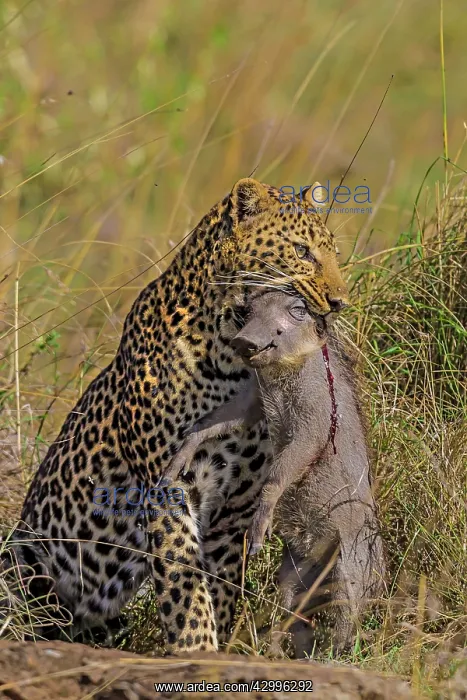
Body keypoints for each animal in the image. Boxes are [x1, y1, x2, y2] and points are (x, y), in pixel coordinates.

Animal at [9, 177, 349, 654]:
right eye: (302, 251)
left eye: (333, 251)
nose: (339, 301)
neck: (229, 353)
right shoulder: (168, 489)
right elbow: (184, 586)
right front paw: (196, 649)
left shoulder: (238, 506)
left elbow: (221, 588)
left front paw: (218, 646)